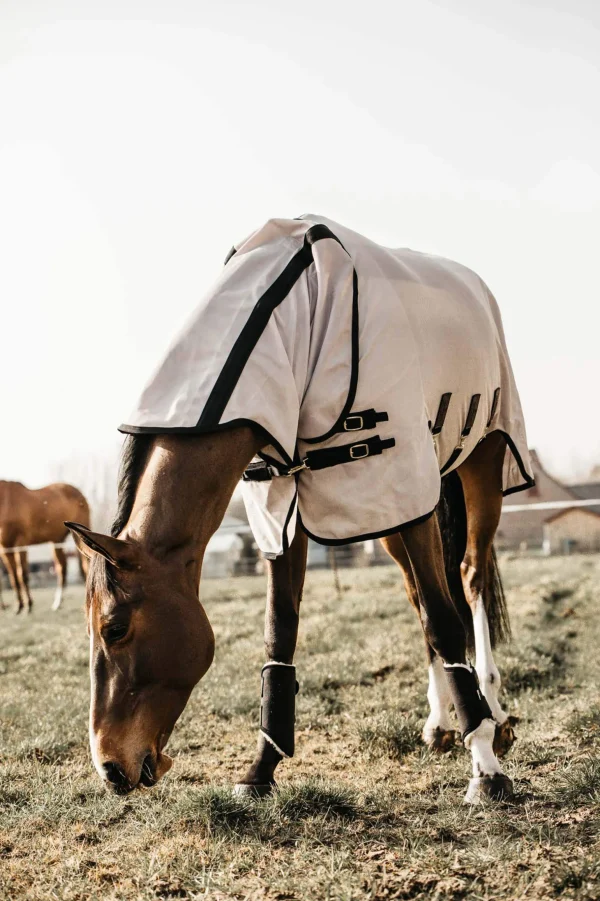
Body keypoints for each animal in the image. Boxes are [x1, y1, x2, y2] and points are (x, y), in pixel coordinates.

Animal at [0, 478, 89, 612]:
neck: (6, 502)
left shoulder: (21, 542)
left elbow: (22, 575)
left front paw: (29, 605)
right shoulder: (6, 548)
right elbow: (14, 577)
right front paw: (19, 606)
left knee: (85, 566)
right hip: (57, 541)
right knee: (62, 568)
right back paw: (57, 603)